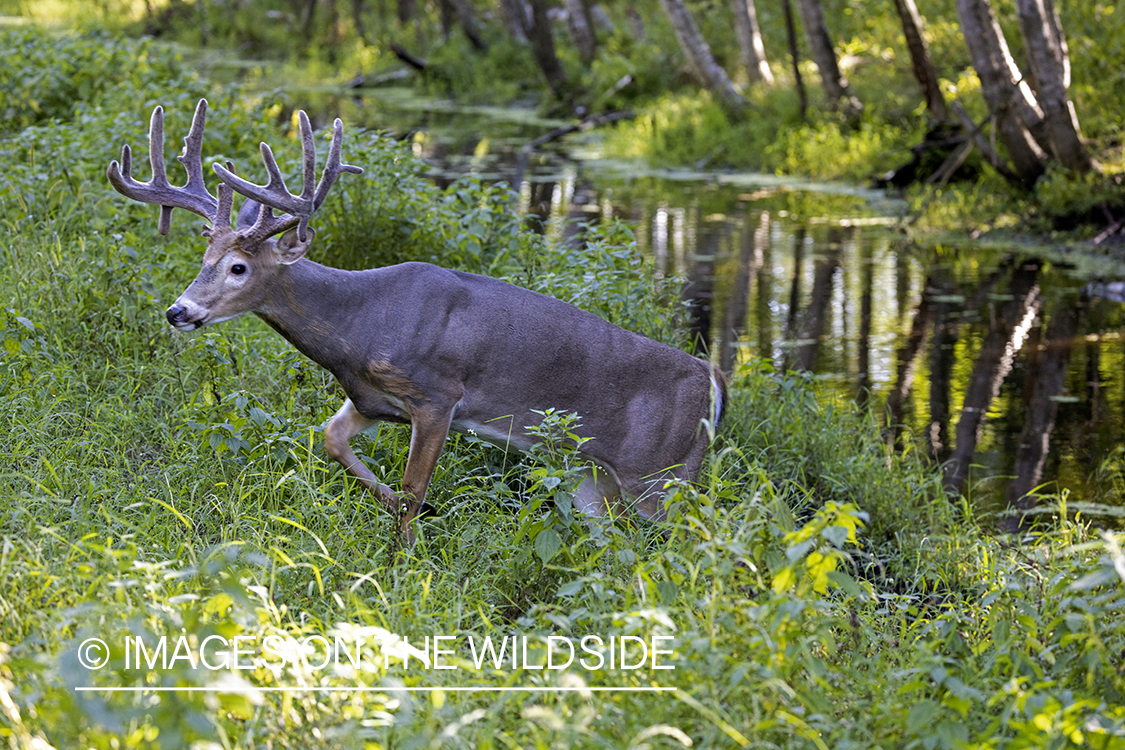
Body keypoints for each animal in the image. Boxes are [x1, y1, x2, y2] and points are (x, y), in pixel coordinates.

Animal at [107, 99, 729, 546]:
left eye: (238, 267)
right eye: (203, 258)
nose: (178, 311)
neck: (363, 323)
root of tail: (716, 381)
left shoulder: (438, 395)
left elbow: (412, 488)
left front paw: (405, 555)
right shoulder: (371, 399)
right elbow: (331, 440)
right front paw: (394, 507)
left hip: (662, 471)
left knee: (696, 533)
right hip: (592, 476)